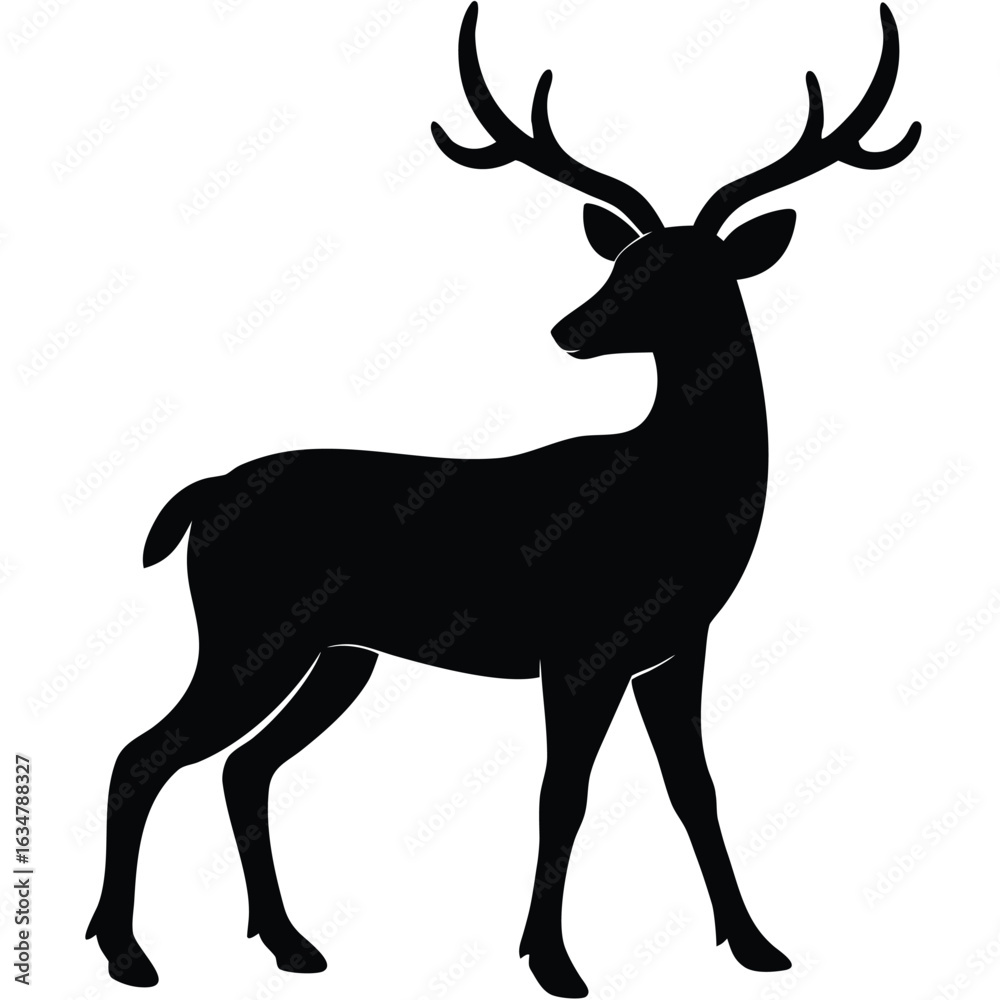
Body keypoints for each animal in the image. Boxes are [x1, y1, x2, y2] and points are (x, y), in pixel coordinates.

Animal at [86, 3, 919, 995]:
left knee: (243, 769)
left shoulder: (678, 648)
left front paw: (756, 944)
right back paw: (126, 951)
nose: (569, 329)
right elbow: (564, 795)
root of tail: (198, 499)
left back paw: (290, 943)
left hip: (336, 653)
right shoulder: (580, 646)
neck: (684, 498)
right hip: (248, 633)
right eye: (623, 260)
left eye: (691, 273)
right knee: (143, 753)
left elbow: (696, 789)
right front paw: (552, 961)